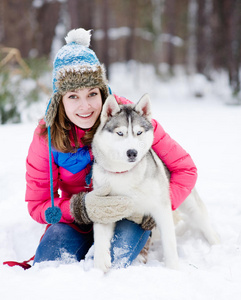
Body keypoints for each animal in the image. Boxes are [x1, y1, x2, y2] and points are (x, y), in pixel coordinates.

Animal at [91, 94, 219, 272]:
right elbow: (100, 236)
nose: (132, 152)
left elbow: (169, 243)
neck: (124, 173)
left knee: (205, 225)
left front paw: (173, 269)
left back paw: (217, 247)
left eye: (139, 132)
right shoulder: (103, 206)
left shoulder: (161, 208)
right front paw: (99, 263)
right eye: (120, 133)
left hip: (191, 205)